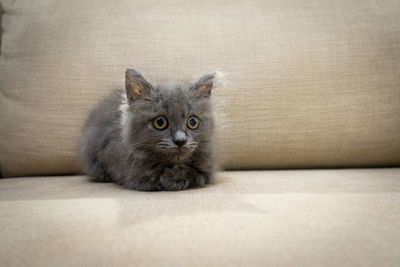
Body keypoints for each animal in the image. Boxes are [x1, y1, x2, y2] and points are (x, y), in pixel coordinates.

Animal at [79, 68, 219, 192]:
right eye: (160, 122)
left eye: (193, 122)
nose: (180, 141)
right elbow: (148, 177)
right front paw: (169, 179)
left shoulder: (207, 168)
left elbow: (198, 175)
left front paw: (173, 178)